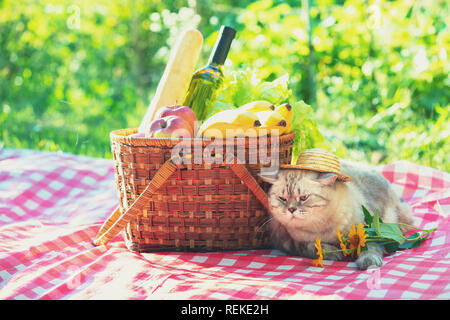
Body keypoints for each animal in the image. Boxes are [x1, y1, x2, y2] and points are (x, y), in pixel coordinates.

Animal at [260, 160, 414, 270]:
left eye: (304, 198)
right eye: (282, 199)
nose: (291, 209)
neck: (321, 227)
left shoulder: (368, 230)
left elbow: (369, 247)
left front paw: (368, 262)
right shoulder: (290, 242)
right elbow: (315, 248)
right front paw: (334, 253)